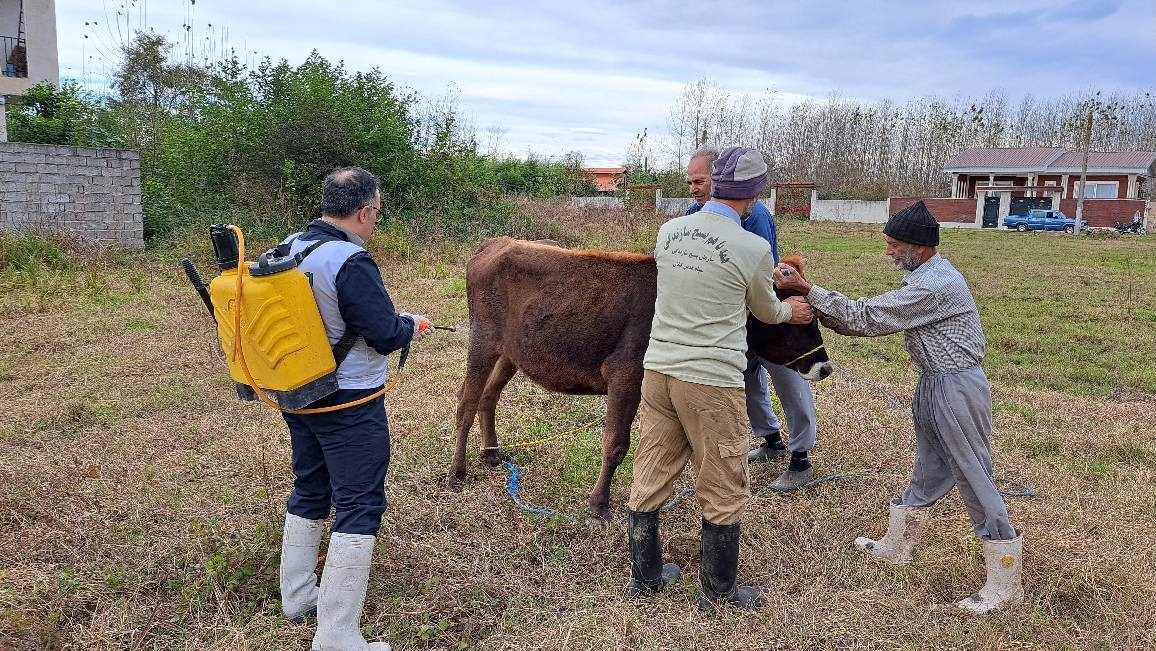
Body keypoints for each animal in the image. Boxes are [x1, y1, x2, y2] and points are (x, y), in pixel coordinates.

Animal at [443, 238, 832, 524]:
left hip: (511, 353)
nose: (825, 367)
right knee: (465, 402)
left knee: (488, 397)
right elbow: (616, 444)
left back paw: (491, 455)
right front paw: (599, 505)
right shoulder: (625, 375)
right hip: (482, 342)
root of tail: (493, 244)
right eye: (802, 319)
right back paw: (456, 473)